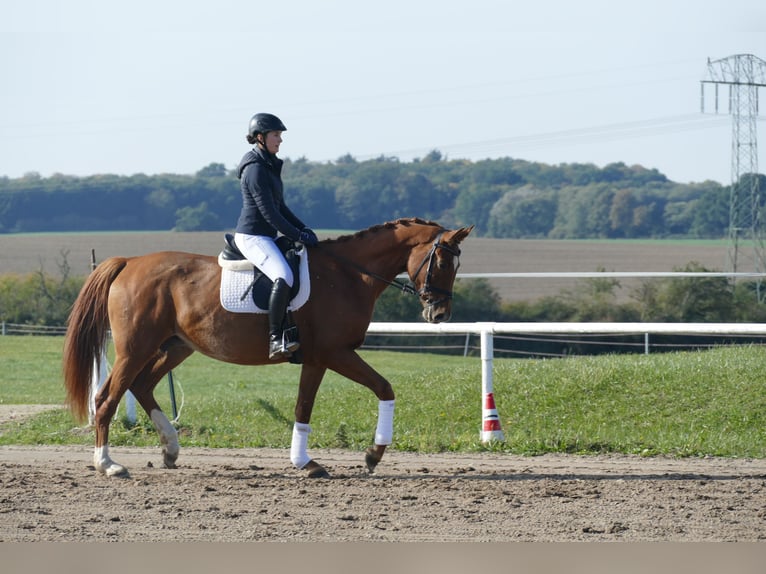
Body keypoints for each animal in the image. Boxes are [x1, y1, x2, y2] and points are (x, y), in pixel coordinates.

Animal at [63, 218, 474, 480]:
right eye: (440, 261)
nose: (439, 313)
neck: (348, 275)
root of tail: (129, 263)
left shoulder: (323, 357)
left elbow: (363, 394)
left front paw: (361, 456)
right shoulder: (331, 354)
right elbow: (327, 401)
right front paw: (334, 460)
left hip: (175, 347)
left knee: (142, 385)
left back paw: (170, 449)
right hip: (136, 348)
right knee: (107, 398)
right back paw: (108, 464)